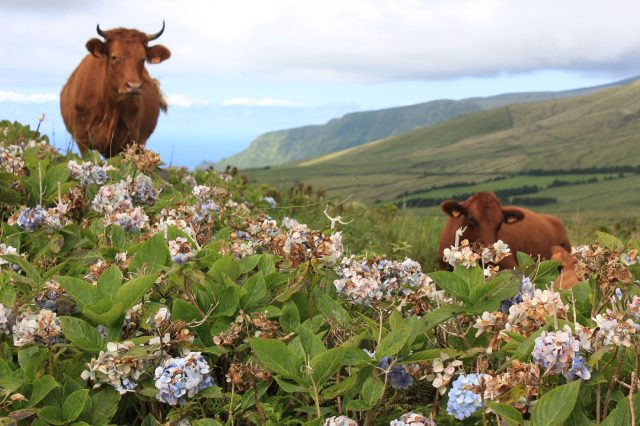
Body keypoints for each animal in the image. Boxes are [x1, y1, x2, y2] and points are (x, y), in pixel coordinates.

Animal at [59, 22, 170, 158]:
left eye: (143, 59)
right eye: (114, 57)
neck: (110, 104)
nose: (134, 86)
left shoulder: (130, 140)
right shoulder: (81, 139)